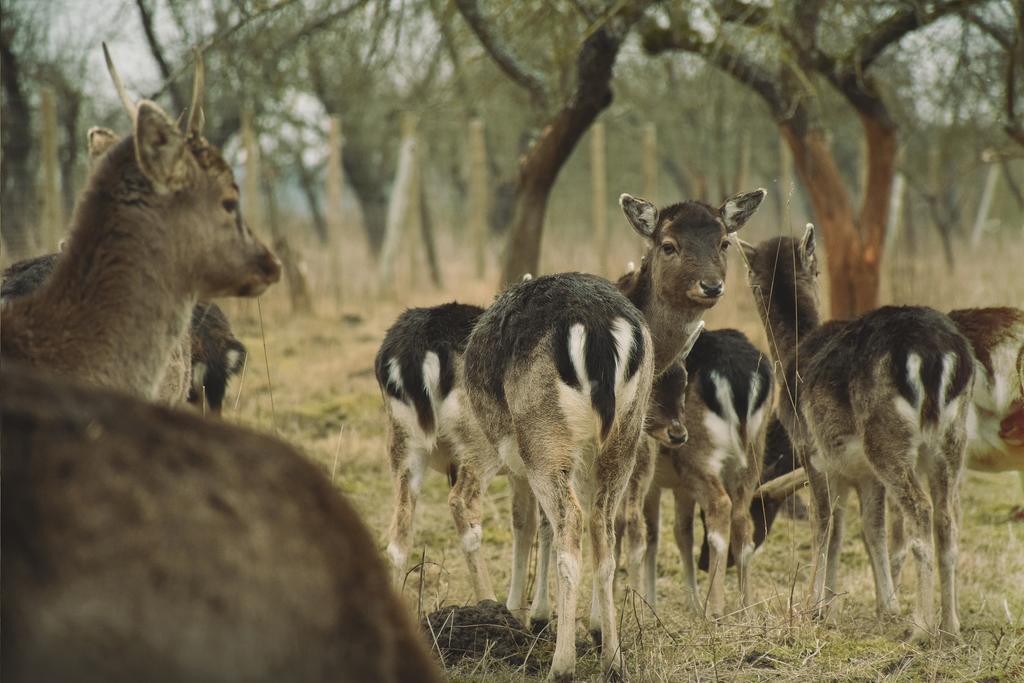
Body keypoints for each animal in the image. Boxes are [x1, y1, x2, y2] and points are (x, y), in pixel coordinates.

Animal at [634, 325, 770, 614]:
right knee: (742, 519)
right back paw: (746, 608)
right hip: (753, 455)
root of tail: (738, 375)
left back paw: (715, 608)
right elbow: (680, 532)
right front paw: (690, 603)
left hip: (697, 458)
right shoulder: (677, 487)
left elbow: (654, 533)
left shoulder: (657, 482)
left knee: (720, 506)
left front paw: (650, 603)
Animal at [737, 227, 974, 643]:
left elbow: (823, 524)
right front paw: (872, 606)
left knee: (920, 510)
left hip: (886, 437)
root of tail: (937, 354)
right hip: (952, 437)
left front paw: (812, 607)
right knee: (948, 518)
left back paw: (920, 627)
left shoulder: (811, 452)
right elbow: (864, 528)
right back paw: (951, 625)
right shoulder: (858, 473)